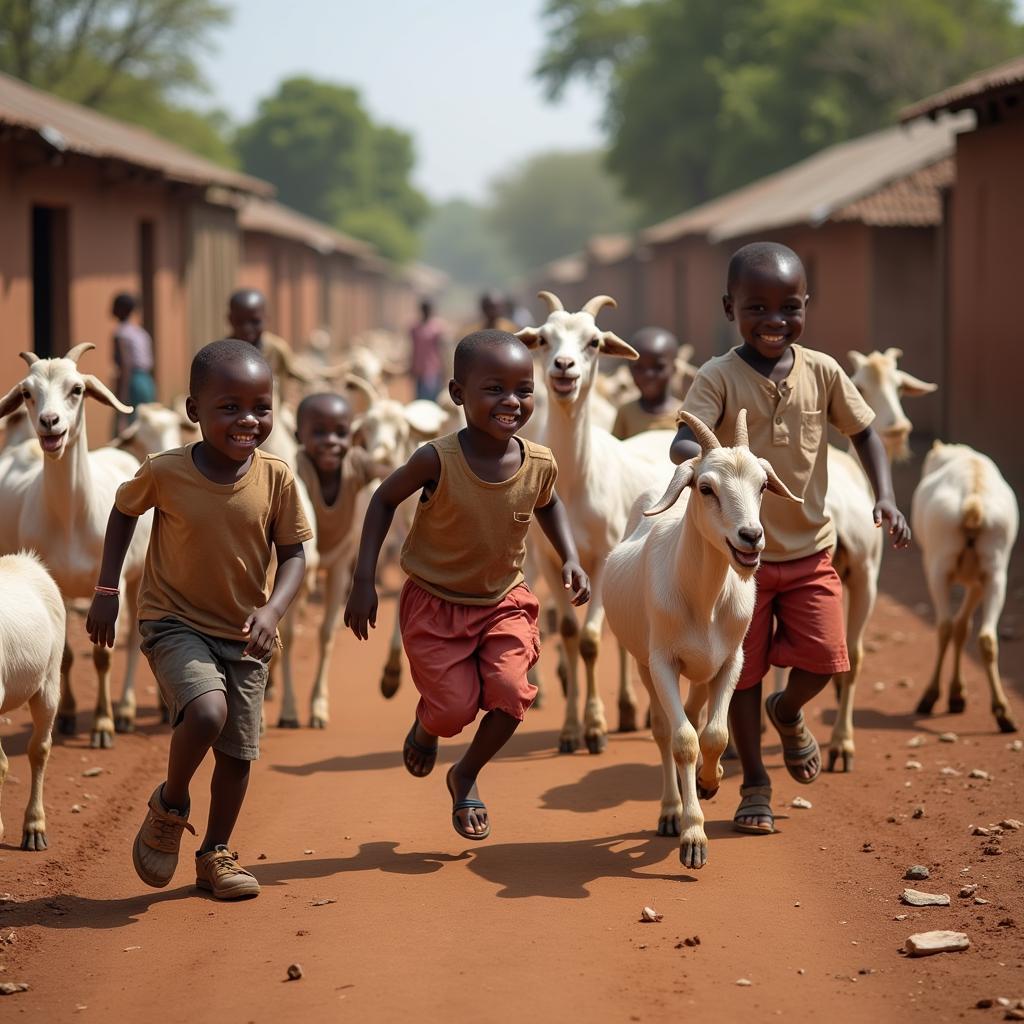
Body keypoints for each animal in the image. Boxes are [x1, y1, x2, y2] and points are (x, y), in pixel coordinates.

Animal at [0, 344, 151, 745]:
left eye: (77, 389)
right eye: (27, 393)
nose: (49, 422)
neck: (72, 517)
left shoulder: (113, 584)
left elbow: (104, 655)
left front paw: (103, 724)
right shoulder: (57, 585)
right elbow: (66, 655)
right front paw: (67, 715)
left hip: (139, 574)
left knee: (135, 640)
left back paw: (129, 710)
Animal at [520, 292, 671, 757]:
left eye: (594, 342)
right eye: (543, 339)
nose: (563, 367)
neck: (576, 482)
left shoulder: (604, 558)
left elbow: (590, 640)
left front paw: (596, 729)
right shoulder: (551, 561)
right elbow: (570, 633)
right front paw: (571, 731)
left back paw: (628, 711)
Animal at [606, 411, 798, 868]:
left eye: (762, 485)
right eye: (707, 488)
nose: (751, 536)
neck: (703, 598)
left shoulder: (731, 661)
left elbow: (715, 735)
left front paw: (712, 781)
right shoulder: (662, 662)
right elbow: (683, 741)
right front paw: (692, 837)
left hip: (698, 671)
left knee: (695, 716)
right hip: (646, 665)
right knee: (664, 730)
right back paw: (670, 811)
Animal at [913, 444, 1015, 733]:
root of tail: (973, 503)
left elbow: (957, 628)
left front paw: (955, 695)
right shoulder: (981, 580)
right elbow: (964, 628)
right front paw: (957, 694)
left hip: (938, 567)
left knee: (945, 626)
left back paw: (929, 696)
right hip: (996, 571)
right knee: (987, 637)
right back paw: (1003, 712)